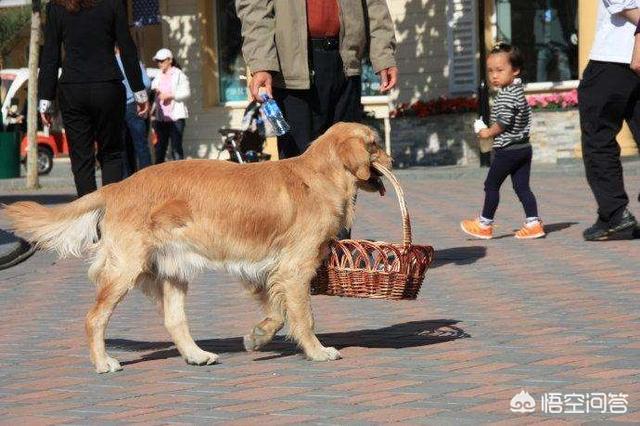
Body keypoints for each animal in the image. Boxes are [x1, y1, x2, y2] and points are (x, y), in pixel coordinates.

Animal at [5, 120, 392, 372]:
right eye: (375, 144)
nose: (391, 160)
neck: (318, 176)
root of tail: (116, 187)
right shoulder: (294, 268)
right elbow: (304, 316)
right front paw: (317, 351)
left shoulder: (264, 269)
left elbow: (279, 313)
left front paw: (257, 337)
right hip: (124, 270)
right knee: (94, 318)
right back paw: (103, 362)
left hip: (172, 271)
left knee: (174, 320)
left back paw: (196, 354)